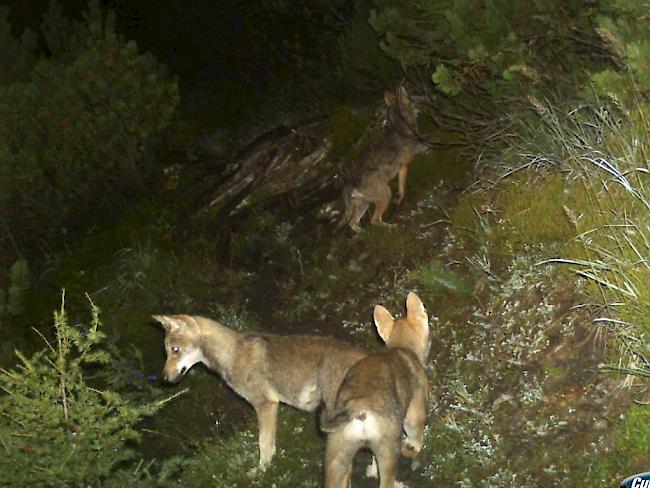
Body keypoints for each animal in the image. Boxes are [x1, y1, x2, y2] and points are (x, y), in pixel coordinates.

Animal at [152, 314, 364, 470]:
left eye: (175, 350)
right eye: (167, 351)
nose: (164, 378)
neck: (230, 354)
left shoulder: (266, 405)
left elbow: (264, 445)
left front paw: (261, 472)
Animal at [320, 294, 430, 488]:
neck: (401, 346)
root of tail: (358, 408)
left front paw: (371, 471)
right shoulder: (414, 414)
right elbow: (415, 439)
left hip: (336, 458)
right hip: (388, 453)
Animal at [334, 86, 420, 233]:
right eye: (410, 99)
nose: (418, 106)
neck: (401, 127)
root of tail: (349, 184)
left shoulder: (401, 168)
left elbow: (401, 189)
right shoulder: (404, 166)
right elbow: (402, 189)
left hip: (364, 204)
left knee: (352, 223)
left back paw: (363, 233)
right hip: (385, 194)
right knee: (374, 221)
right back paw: (391, 227)